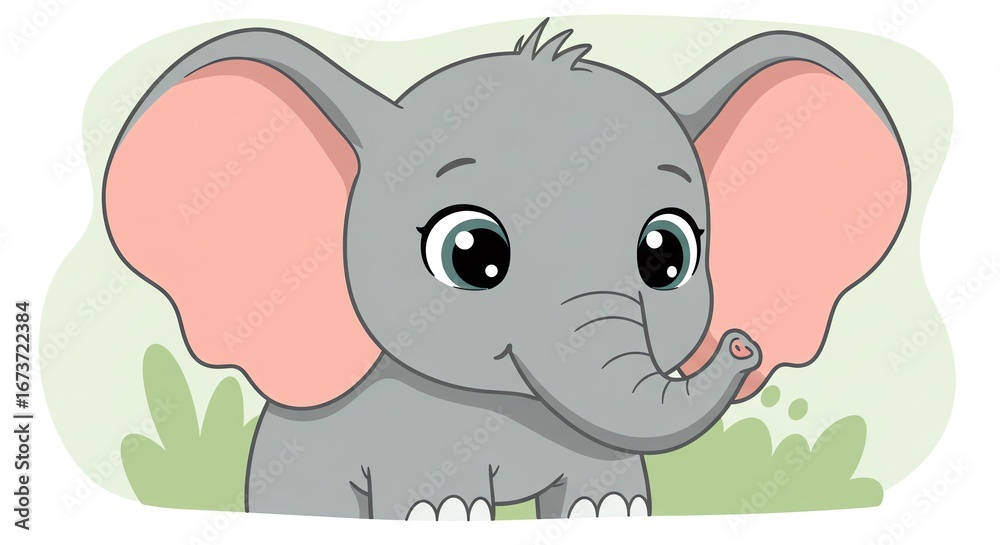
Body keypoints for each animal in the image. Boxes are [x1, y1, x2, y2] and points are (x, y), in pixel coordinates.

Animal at [103, 20, 908, 520]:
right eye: (471, 254)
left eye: (666, 255)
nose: (744, 342)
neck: (513, 402)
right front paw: (448, 516)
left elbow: (605, 490)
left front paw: (608, 514)